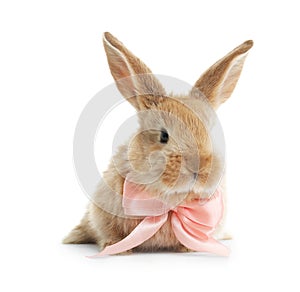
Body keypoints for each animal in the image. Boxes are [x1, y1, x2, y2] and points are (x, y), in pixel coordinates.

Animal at [63, 32, 253, 253]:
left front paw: (190, 248)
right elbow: (108, 233)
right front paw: (118, 248)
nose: (199, 167)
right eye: (163, 136)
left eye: (210, 133)